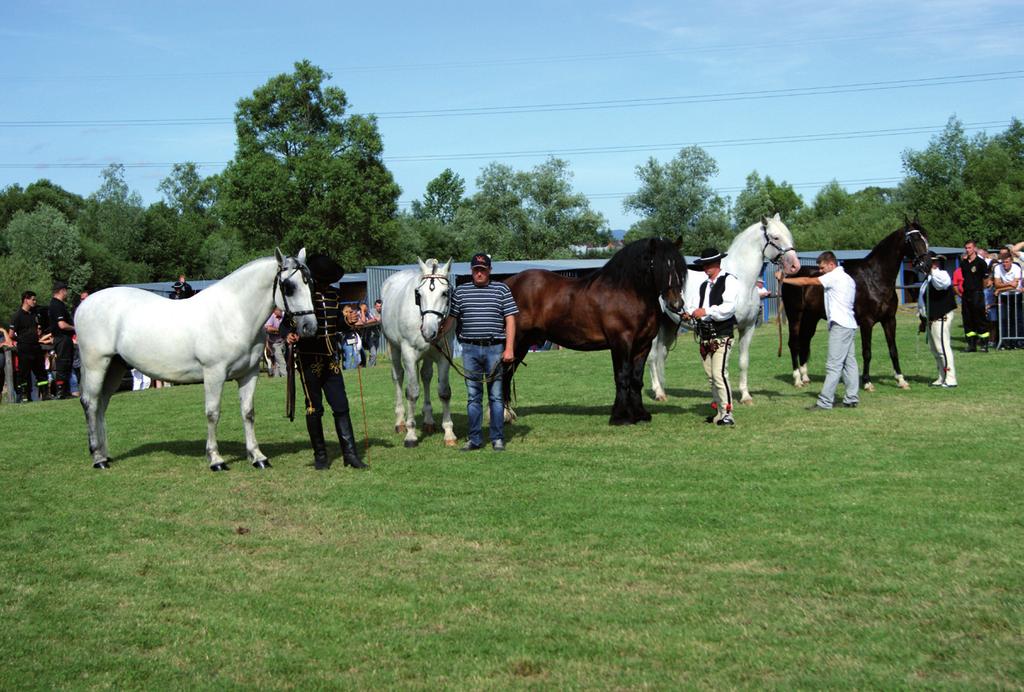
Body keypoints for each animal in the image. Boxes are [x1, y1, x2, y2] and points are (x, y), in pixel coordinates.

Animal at [76, 248, 317, 470]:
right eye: (289, 287)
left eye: (310, 284)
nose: (310, 327)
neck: (233, 314)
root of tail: (83, 306)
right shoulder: (214, 374)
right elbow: (212, 413)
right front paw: (216, 459)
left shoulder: (249, 374)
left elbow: (248, 413)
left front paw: (257, 457)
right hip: (97, 364)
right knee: (91, 403)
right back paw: (98, 458)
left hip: (115, 366)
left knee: (101, 404)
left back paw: (104, 454)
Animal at [382, 260, 458, 448]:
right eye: (418, 294)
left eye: (445, 293)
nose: (429, 331)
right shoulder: (409, 353)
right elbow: (412, 392)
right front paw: (411, 434)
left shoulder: (444, 355)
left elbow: (444, 392)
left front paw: (449, 432)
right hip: (394, 348)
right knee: (398, 377)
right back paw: (400, 422)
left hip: (428, 355)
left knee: (426, 376)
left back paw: (428, 420)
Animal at [499, 235, 684, 423]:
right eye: (658, 266)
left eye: (678, 266)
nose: (676, 304)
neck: (627, 293)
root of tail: (508, 283)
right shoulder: (621, 343)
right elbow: (622, 376)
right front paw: (620, 416)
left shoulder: (643, 345)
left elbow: (636, 379)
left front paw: (640, 414)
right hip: (514, 342)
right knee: (502, 375)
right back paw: (504, 415)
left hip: (523, 344)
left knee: (507, 375)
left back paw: (508, 414)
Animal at [651, 213, 802, 403]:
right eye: (775, 237)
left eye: (789, 236)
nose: (795, 266)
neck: (742, 281)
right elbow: (723, 366)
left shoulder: (748, 328)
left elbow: (743, 362)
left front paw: (745, 396)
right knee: (652, 357)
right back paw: (658, 392)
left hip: (670, 325)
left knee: (662, 356)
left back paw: (663, 391)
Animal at [778, 220, 933, 388]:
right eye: (914, 238)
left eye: (926, 237)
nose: (927, 265)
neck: (874, 278)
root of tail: (790, 277)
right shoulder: (867, 322)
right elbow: (867, 352)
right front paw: (867, 382)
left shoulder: (889, 320)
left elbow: (893, 350)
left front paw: (901, 380)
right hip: (795, 316)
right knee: (794, 343)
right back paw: (797, 379)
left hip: (810, 318)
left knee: (805, 341)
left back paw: (805, 377)